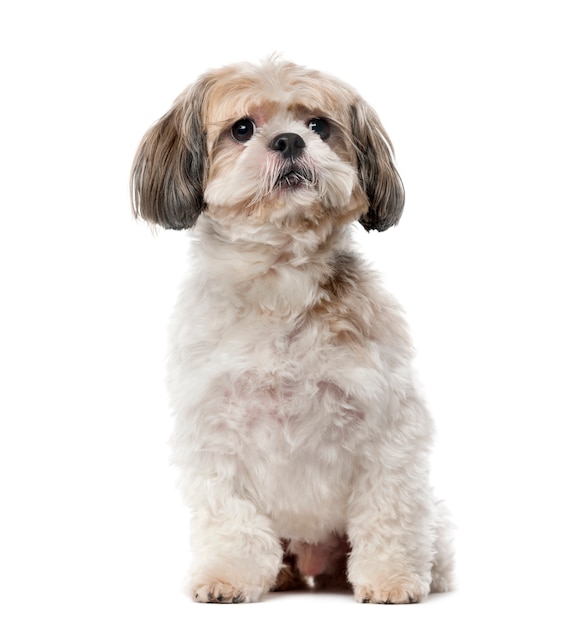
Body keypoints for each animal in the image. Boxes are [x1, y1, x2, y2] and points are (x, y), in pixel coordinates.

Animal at [131, 57, 456, 600]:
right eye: (243, 128)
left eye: (318, 125)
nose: (288, 140)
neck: (280, 285)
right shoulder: (213, 432)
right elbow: (231, 518)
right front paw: (227, 576)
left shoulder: (388, 428)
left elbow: (388, 509)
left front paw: (391, 578)